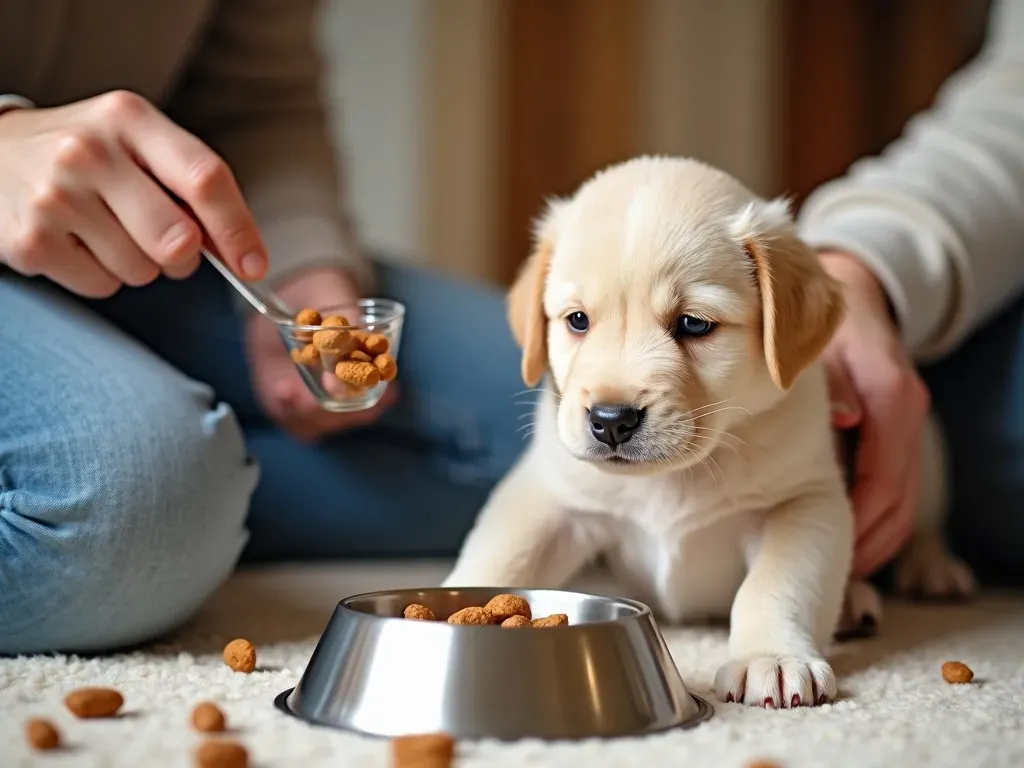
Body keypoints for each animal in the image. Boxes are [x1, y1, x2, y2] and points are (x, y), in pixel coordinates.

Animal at [444, 156, 970, 708]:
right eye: (578, 320)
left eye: (694, 324)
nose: (610, 420)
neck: (675, 475)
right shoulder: (549, 497)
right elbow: (502, 553)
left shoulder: (805, 501)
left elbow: (776, 582)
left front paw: (771, 657)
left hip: (925, 445)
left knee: (925, 524)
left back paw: (928, 572)